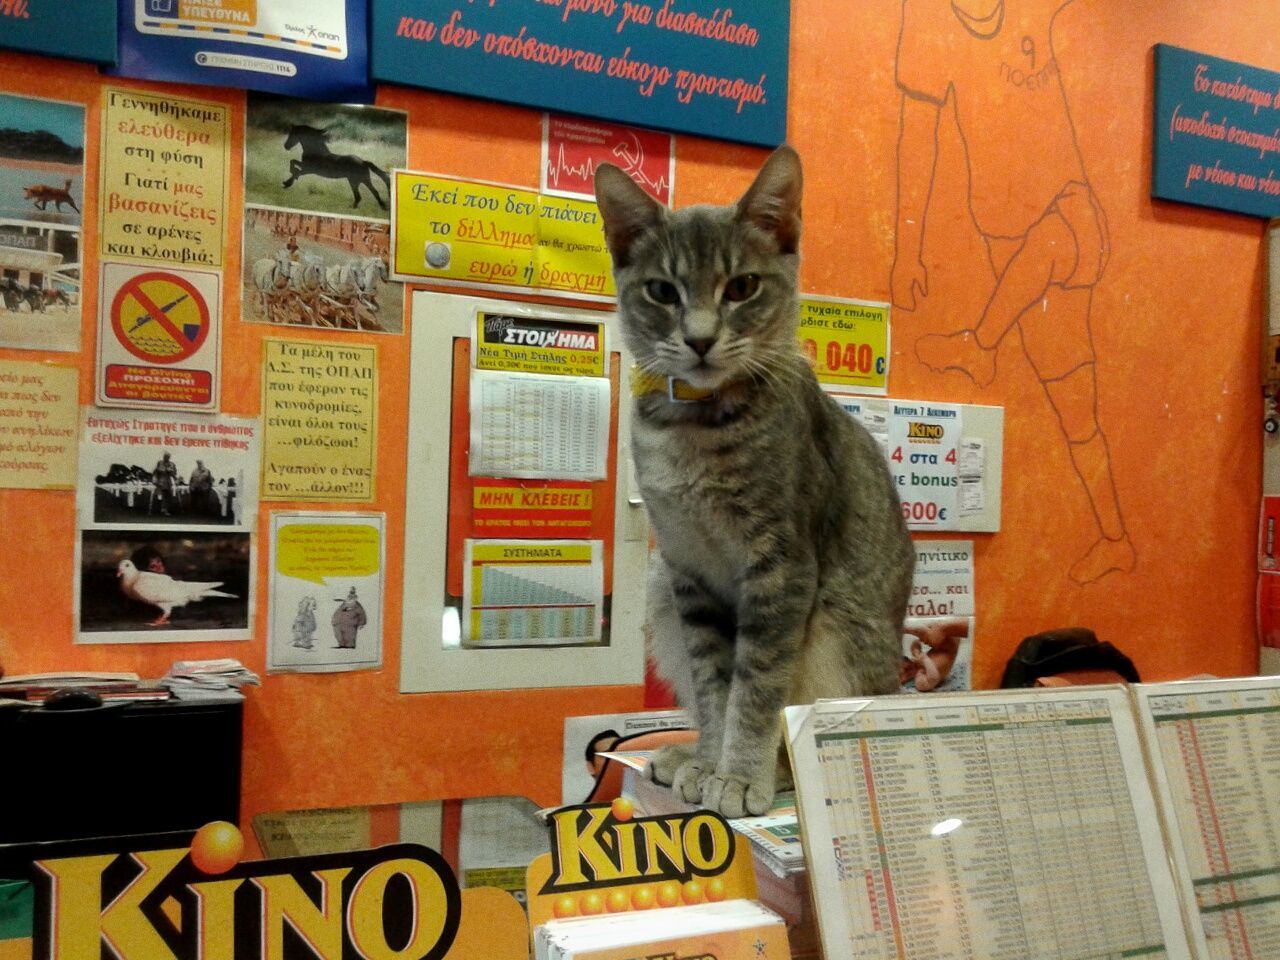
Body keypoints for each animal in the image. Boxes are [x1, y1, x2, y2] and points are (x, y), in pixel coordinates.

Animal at [593, 144, 916, 819]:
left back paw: (775, 774)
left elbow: (756, 690)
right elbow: (715, 686)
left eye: (742, 286)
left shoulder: (780, 570)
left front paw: (741, 775)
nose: (699, 339)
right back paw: (686, 754)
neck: (693, 428)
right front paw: (712, 762)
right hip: (659, 592)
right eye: (662, 290)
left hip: (834, 635)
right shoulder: (688, 571)